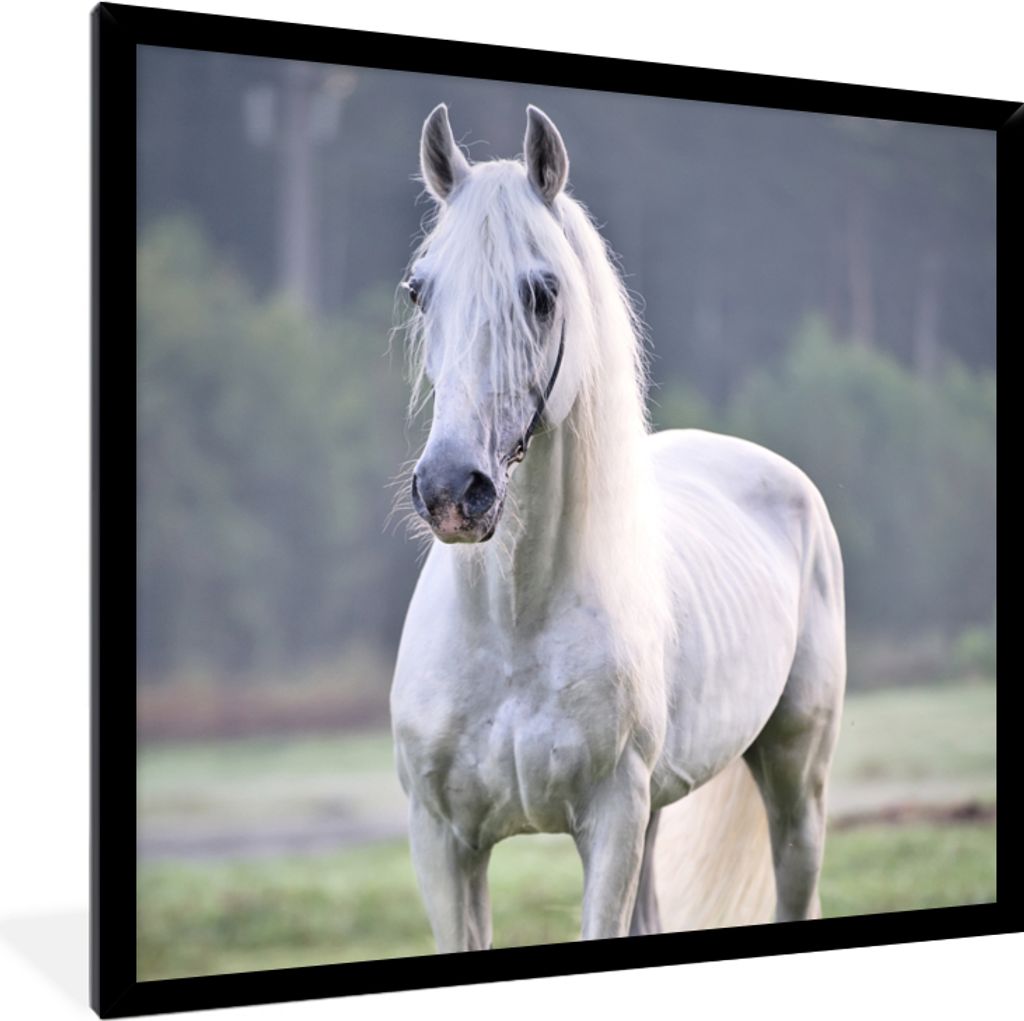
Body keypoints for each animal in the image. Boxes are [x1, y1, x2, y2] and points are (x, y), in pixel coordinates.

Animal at [389, 103, 846, 951]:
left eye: (544, 292)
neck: (512, 626)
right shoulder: (442, 841)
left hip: (795, 783)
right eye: (418, 291)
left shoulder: (608, 825)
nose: (451, 492)